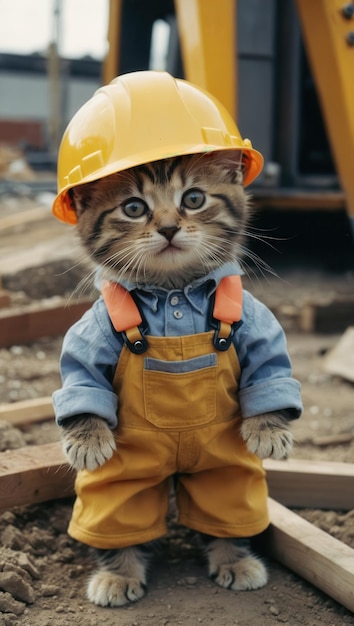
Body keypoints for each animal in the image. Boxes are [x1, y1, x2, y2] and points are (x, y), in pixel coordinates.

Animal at [57, 150, 296, 604]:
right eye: (134, 208)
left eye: (194, 198)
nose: (168, 227)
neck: (172, 292)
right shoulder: (92, 331)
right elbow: (81, 379)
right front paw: (86, 439)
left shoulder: (255, 320)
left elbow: (269, 368)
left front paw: (269, 430)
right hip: (125, 474)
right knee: (115, 513)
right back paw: (119, 574)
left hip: (224, 464)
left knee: (228, 501)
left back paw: (234, 560)